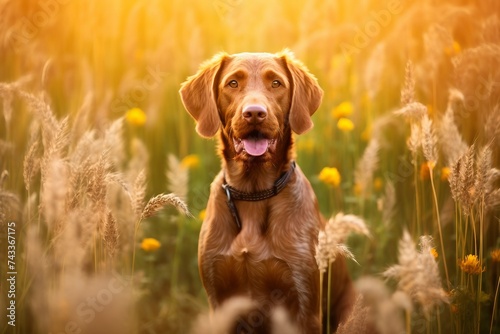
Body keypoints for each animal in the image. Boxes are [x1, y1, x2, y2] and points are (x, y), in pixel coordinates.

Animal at [182, 50, 354, 334]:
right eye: (232, 83)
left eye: (276, 83)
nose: (254, 113)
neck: (254, 192)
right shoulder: (219, 300)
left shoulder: (305, 304)